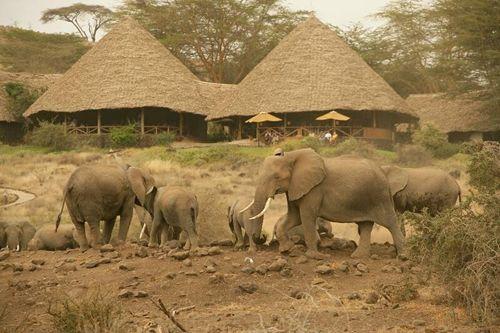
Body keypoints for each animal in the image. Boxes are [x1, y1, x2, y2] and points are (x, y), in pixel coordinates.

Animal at [240, 148, 404, 260]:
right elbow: (294, 217)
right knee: (365, 225)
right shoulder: (295, 187)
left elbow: (306, 216)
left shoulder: (314, 189)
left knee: (390, 222)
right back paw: (358, 257)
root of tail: (383, 173)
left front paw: (315, 257)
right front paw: (286, 250)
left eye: (276, 177)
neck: (293, 156)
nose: (260, 237)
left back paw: (402, 256)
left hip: (380, 196)